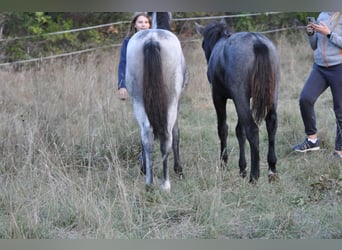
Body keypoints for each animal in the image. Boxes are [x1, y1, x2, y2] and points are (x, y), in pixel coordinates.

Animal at [126, 12, 190, 191]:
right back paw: (165, 184)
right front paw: (179, 169)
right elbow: (176, 133)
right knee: (167, 136)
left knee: (146, 135)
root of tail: (152, 40)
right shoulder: (177, 102)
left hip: (138, 101)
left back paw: (149, 182)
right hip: (171, 103)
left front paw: (143, 167)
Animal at [196, 19, 280, 183]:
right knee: (271, 124)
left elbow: (223, 128)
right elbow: (239, 131)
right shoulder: (242, 99)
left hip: (239, 97)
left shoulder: (219, 97)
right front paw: (242, 168)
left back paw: (254, 176)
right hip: (271, 95)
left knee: (252, 129)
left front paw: (224, 164)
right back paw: (271, 169)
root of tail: (257, 42)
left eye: (203, 44)